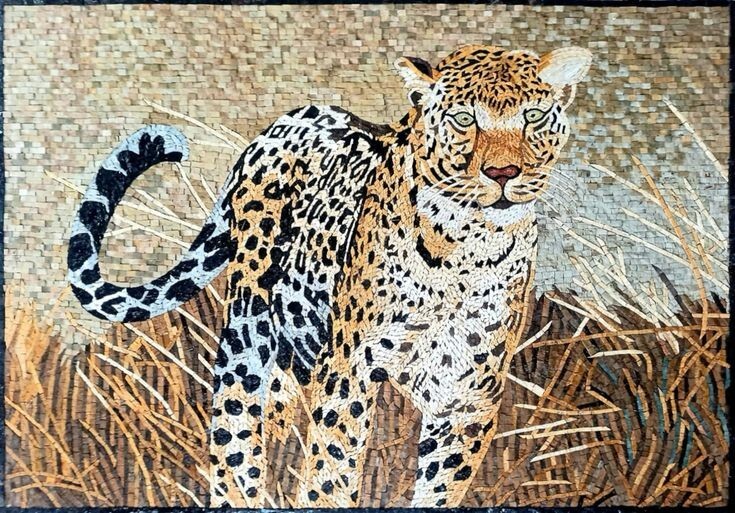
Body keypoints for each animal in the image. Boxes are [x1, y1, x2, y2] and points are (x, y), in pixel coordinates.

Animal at [67, 44, 591, 508]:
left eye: (533, 117)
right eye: (465, 119)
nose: (503, 173)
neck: (468, 245)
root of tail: (287, 119)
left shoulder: (465, 392)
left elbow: (439, 485)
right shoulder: (350, 367)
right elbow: (332, 469)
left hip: (294, 353)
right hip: (249, 326)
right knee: (235, 430)